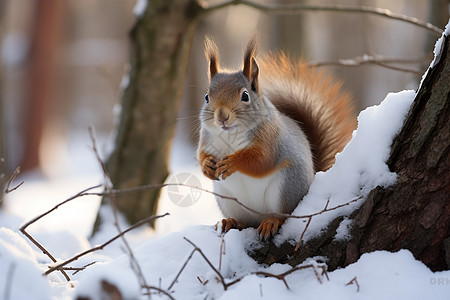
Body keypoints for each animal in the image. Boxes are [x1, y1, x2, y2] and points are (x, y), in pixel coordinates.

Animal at [197, 35, 356, 239]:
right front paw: (207, 165)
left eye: (245, 96)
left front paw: (233, 162)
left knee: (284, 215)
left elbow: (262, 160)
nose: (222, 116)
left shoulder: (270, 139)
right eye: (206, 97)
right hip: (227, 198)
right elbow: (201, 155)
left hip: (285, 187)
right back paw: (231, 221)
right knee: (244, 221)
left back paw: (271, 221)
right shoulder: (206, 139)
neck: (230, 135)